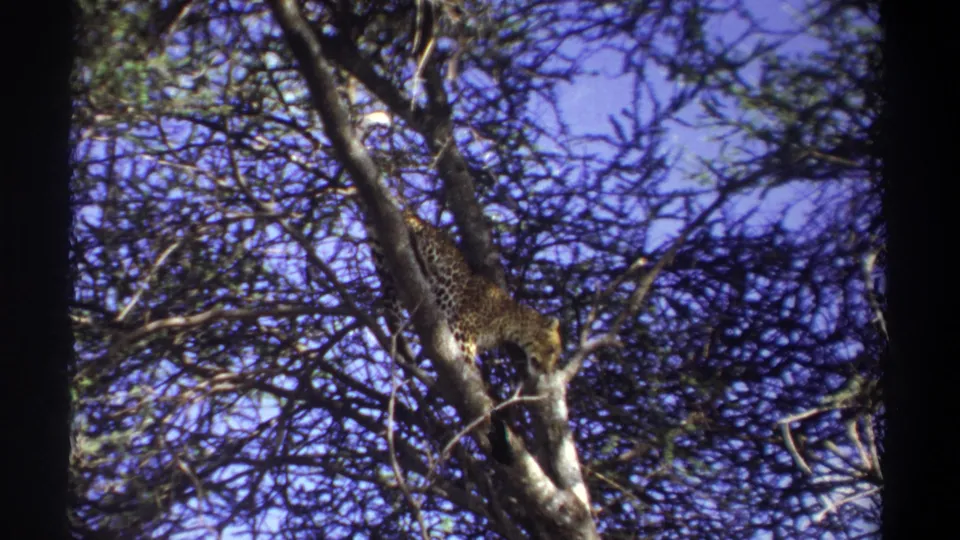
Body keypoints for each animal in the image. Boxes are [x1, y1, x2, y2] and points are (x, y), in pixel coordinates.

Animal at [366, 211, 562, 373]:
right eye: (552, 350)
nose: (547, 372)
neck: (511, 319)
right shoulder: (463, 332)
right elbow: (470, 366)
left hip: (389, 277)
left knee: (390, 309)